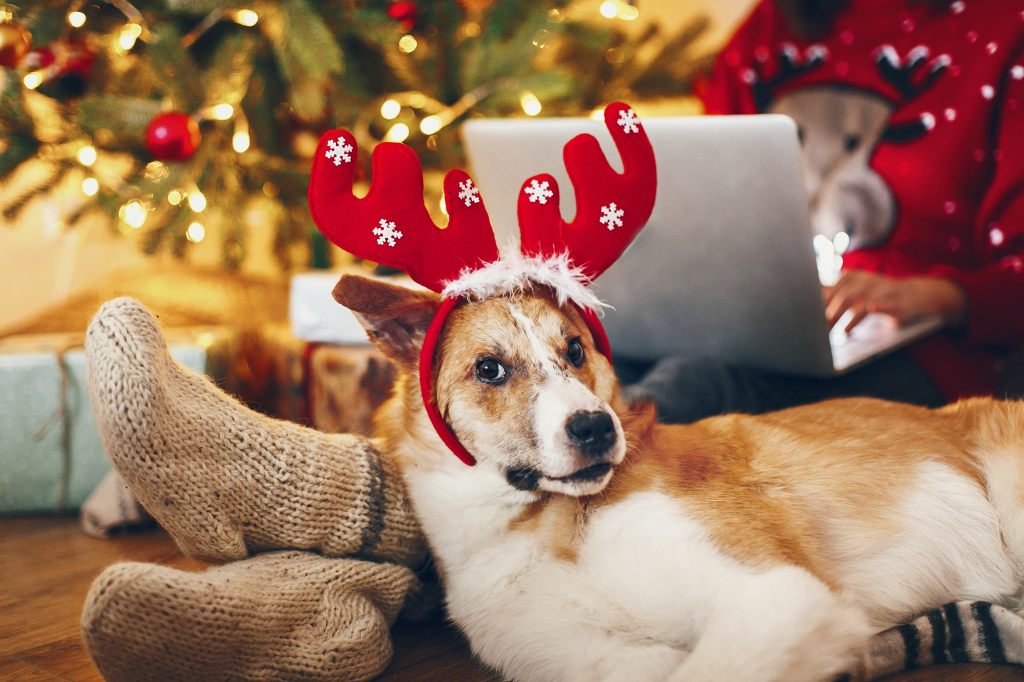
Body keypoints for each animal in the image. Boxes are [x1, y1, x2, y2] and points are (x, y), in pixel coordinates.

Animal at [331, 272, 1024, 679]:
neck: (535, 525)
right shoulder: (606, 661)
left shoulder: (776, 595)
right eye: (490, 369)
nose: (595, 428)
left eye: (574, 350)